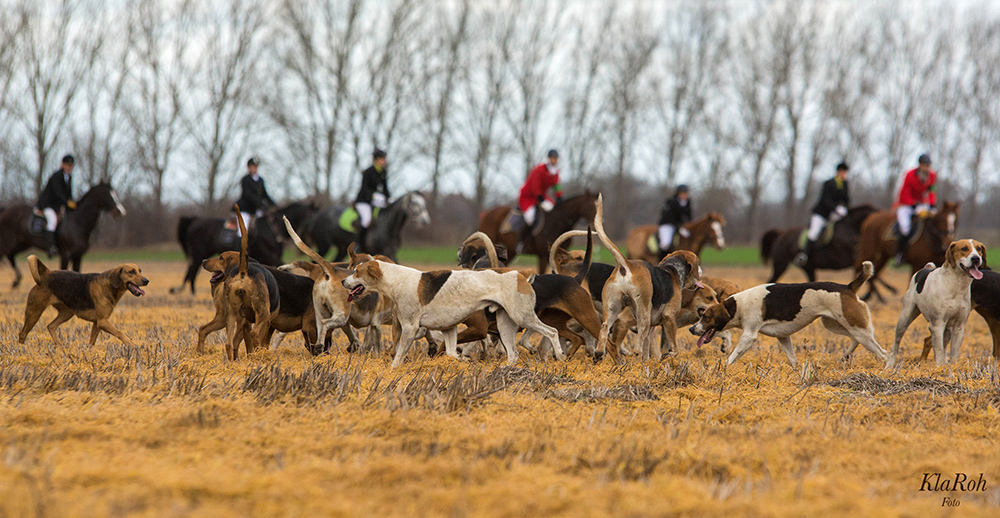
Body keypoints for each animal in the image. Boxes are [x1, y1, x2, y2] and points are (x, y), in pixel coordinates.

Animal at [19, 255, 148, 348]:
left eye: (140, 271)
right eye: (131, 272)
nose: (146, 281)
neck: (109, 285)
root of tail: (46, 273)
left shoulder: (97, 323)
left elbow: (92, 341)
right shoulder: (103, 322)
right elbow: (120, 332)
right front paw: (132, 344)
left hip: (66, 313)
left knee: (51, 326)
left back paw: (59, 345)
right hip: (34, 313)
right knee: (22, 333)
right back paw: (21, 349)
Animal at [168, 201, 316, 294]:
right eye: (309, 215)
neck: (272, 228)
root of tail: (195, 219)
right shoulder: (272, 256)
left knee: (192, 271)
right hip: (199, 253)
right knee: (192, 271)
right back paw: (193, 295)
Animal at [302, 192, 432, 264]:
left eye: (424, 203)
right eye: (415, 203)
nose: (425, 220)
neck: (388, 224)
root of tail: (318, 215)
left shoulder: (391, 252)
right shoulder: (381, 251)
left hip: (341, 248)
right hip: (324, 245)